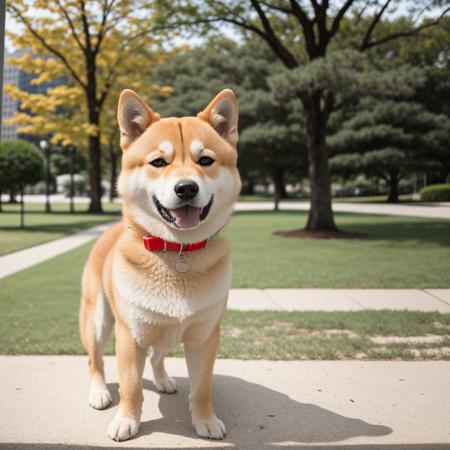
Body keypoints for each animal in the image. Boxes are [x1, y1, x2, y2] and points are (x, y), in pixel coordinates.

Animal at [81, 89, 243, 442]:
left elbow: (202, 388)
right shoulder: (130, 336)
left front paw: (205, 420)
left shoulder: (205, 337)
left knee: (158, 356)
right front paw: (126, 421)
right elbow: (130, 387)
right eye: (158, 162)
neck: (177, 250)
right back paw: (98, 392)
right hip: (97, 320)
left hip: (165, 330)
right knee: (95, 360)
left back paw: (163, 380)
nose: (186, 188)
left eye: (205, 161)